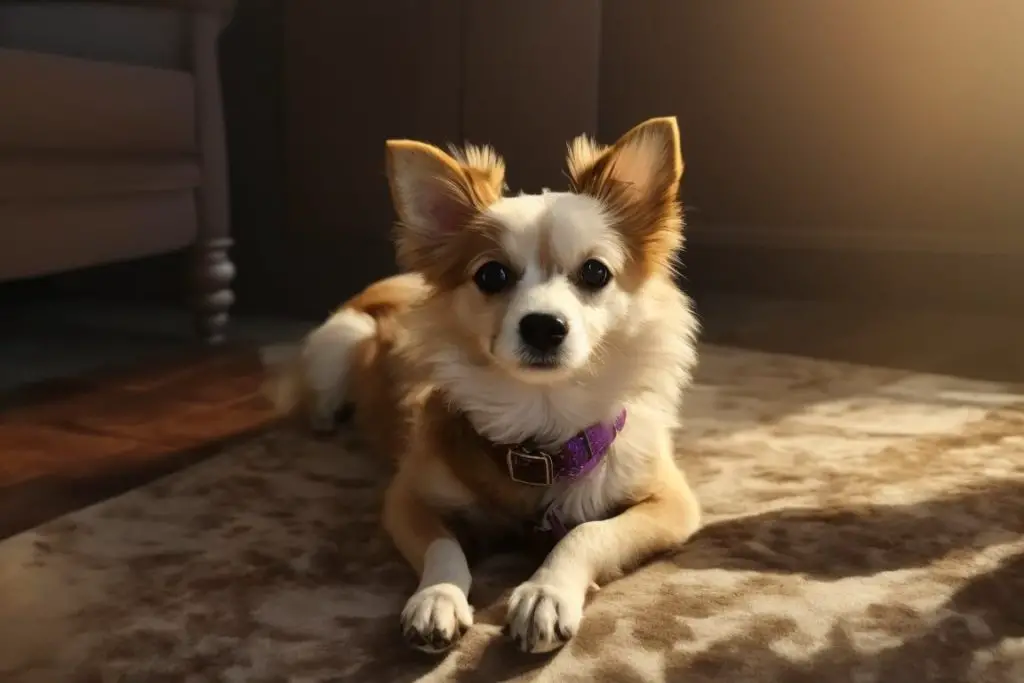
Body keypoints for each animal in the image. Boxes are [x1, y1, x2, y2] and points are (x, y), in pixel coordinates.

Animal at [270, 117, 704, 655]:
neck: (542, 420)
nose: (543, 325)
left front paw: (545, 592)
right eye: (492, 275)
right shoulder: (406, 498)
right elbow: (443, 546)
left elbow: (586, 533)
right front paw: (438, 596)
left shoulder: (671, 503)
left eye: (595, 272)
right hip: (340, 341)